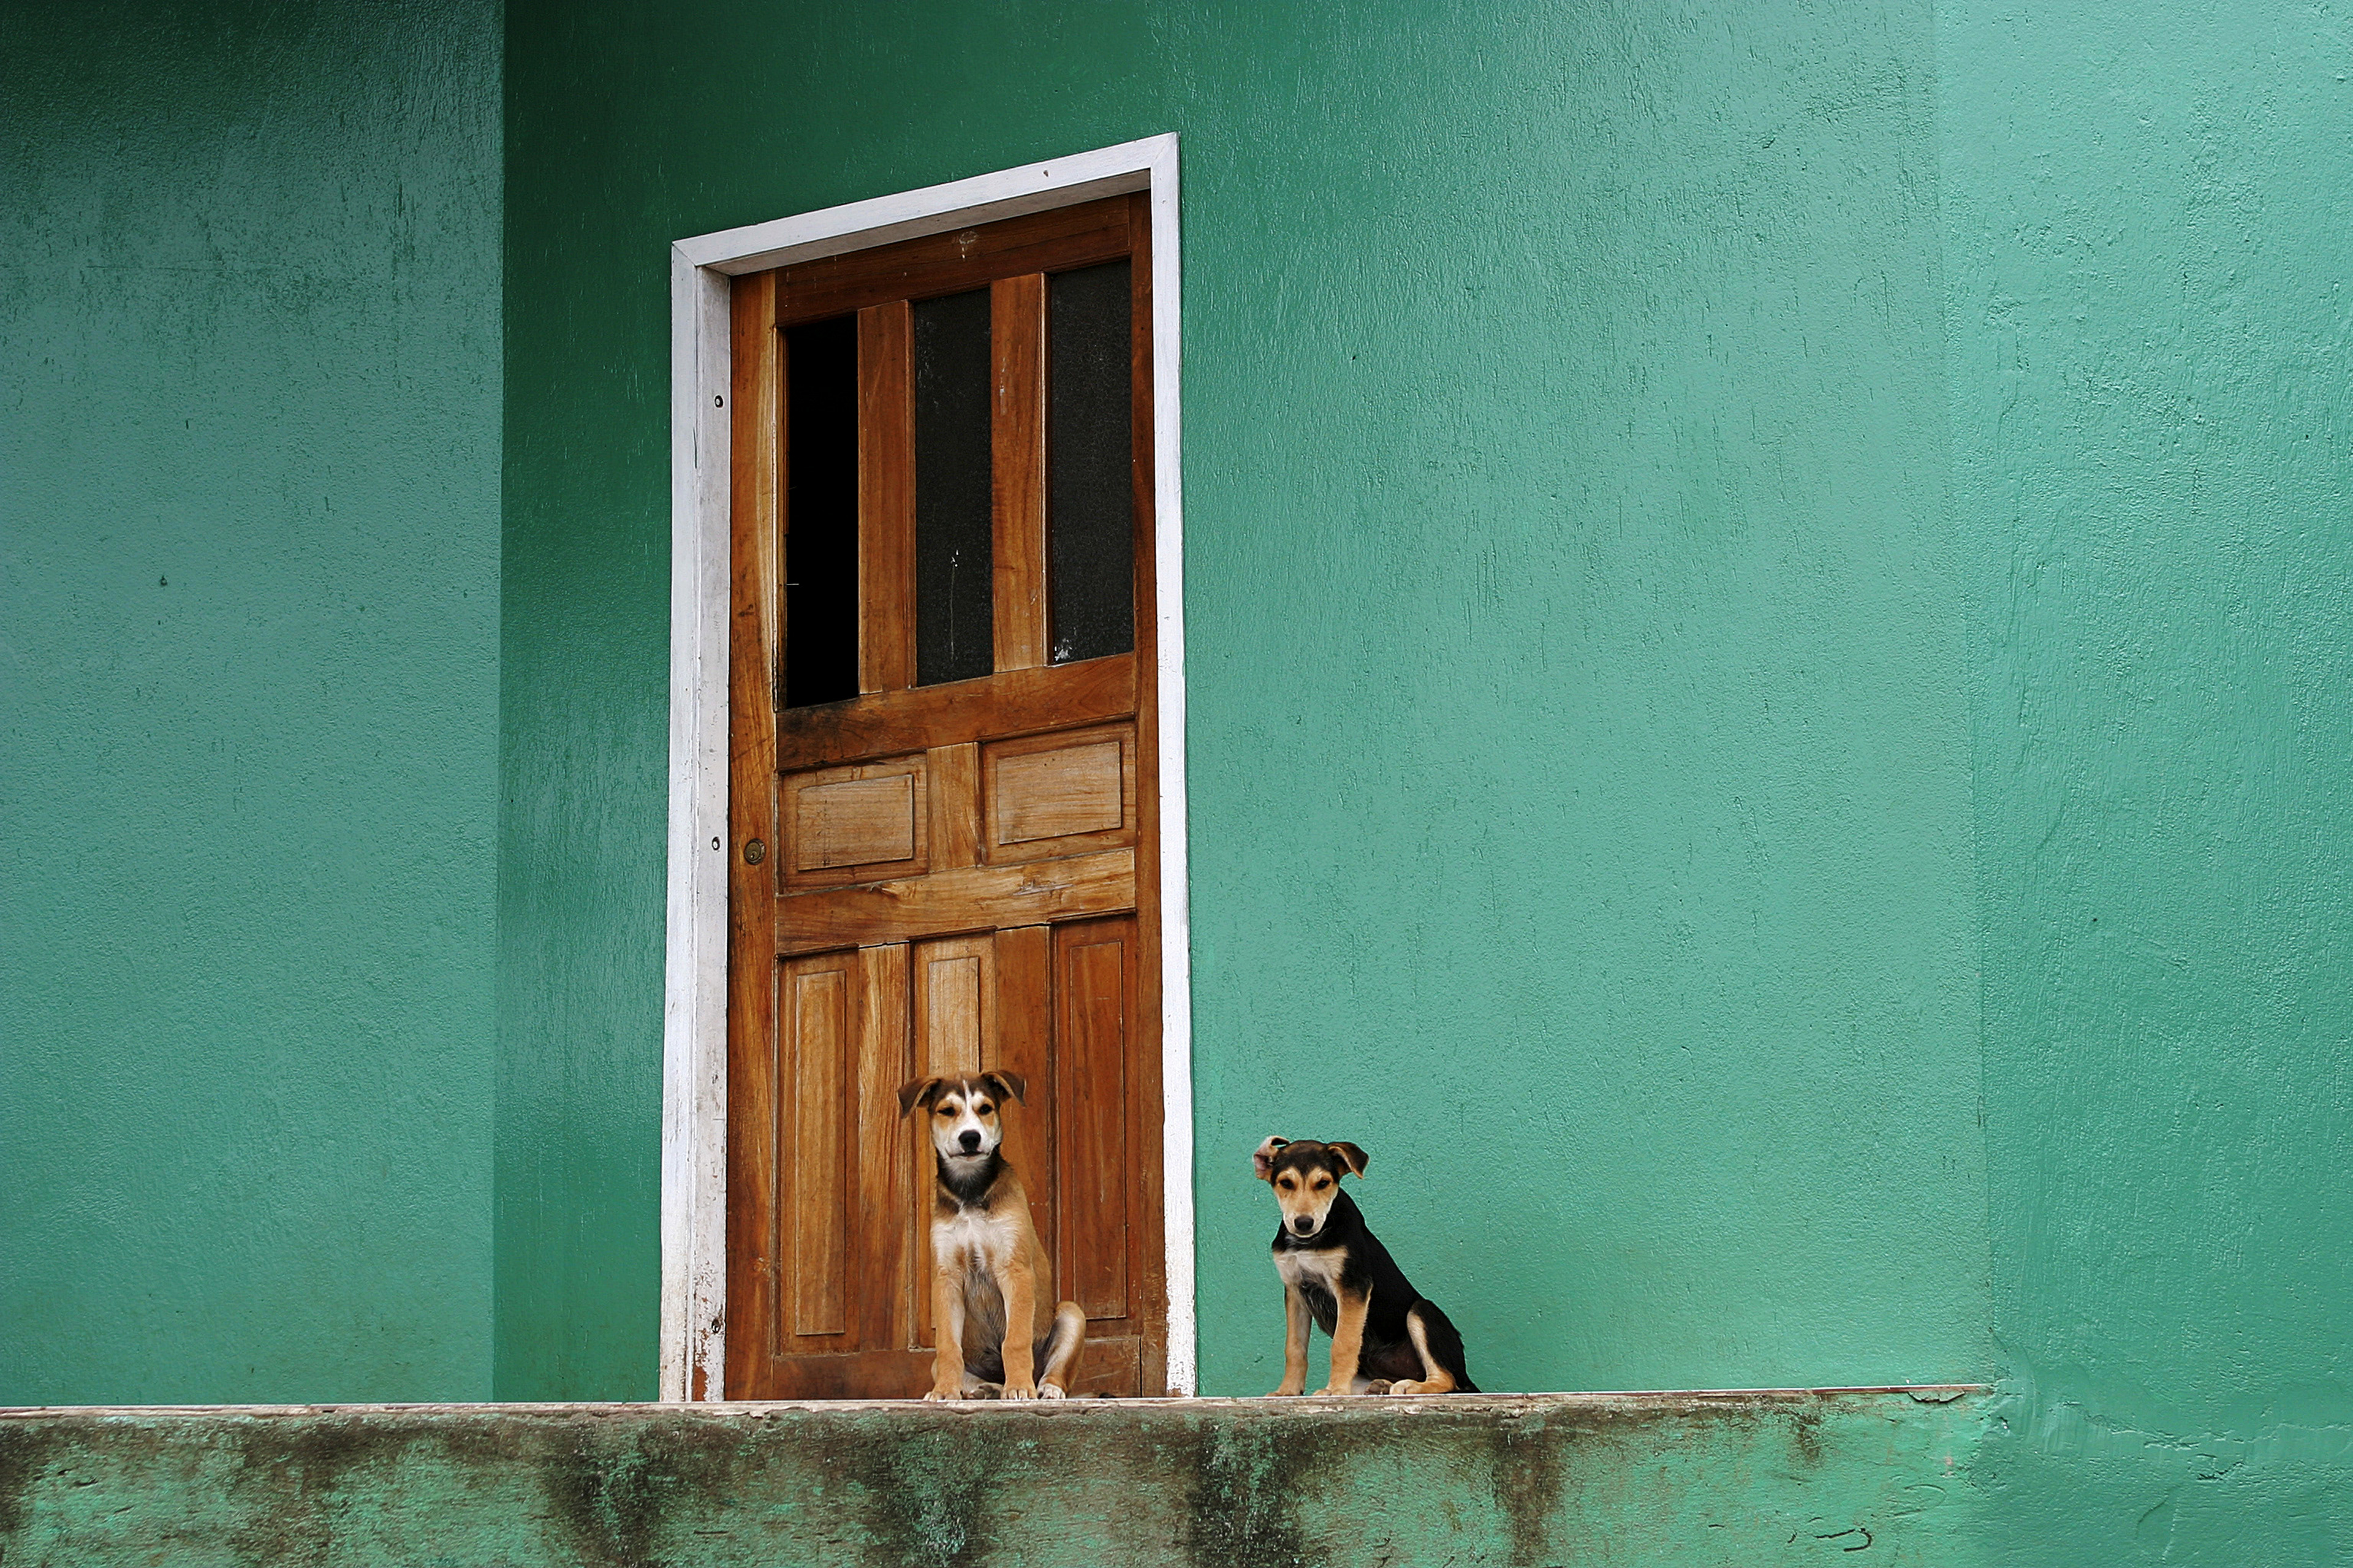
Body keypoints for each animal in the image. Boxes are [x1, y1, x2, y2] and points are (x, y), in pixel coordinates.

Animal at [897, 1071, 1085, 1400]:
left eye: (985, 1108)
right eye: (947, 1111)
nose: (970, 1137)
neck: (970, 1192)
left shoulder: (1015, 1270)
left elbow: (1016, 1340)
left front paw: (1020, 1387)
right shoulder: (946, 1277)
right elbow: (948, 1346)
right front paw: (944, 1392)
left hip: (1072, 1314)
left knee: (1055, 1372)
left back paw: (1044, 1389)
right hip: (942, 1361)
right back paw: (984, 1390)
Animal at [1254, 1136, 1478, 1396]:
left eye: (1323, 1183)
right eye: (1286, 1183)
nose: (1303, 1223)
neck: (1309, 1242)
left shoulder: (1353, 1286)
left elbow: (1343, 1343)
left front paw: (1335, 1390)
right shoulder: (1295, 1290)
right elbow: (1294, 1348)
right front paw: (1287, 1391)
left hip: (1423, 1311)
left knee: (1448, 1379)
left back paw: (1409, 1386)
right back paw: (1381, 1386)